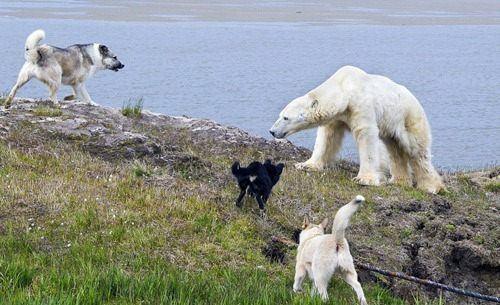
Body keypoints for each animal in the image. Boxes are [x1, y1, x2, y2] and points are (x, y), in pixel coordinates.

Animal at [272, 65, 444, 192]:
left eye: (286, 117)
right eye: (280, 115)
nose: (272, 131)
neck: (344, 89)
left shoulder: (361, 105)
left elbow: (366, 135)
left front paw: (364, 179)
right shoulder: (338, 116)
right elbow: (327, 137)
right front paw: (306, 165)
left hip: (408, 117)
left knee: (417, 150)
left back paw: (431, 186)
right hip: (391, 123)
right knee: (395, 148)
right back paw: (398, 181)